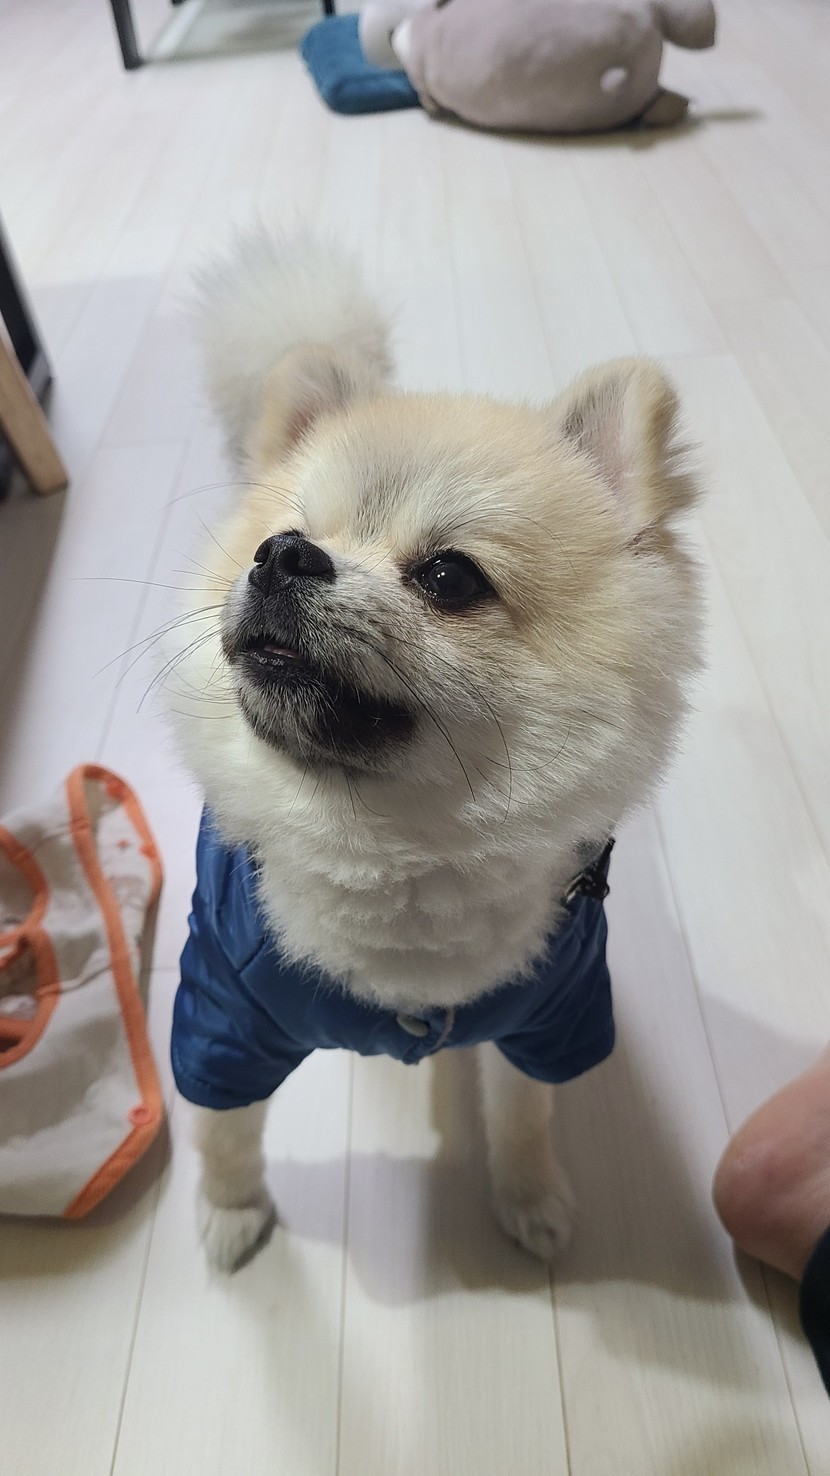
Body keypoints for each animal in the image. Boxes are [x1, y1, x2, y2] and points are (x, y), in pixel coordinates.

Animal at [165, 230, 702, 1273]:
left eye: (450, 578)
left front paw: (529, 1198)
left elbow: (525, 1117)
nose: (283, 557)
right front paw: (233, 1210)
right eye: (278, 536)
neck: (394, 851)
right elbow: (223, 1129)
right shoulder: (222, 1013)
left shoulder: (548, 1013)